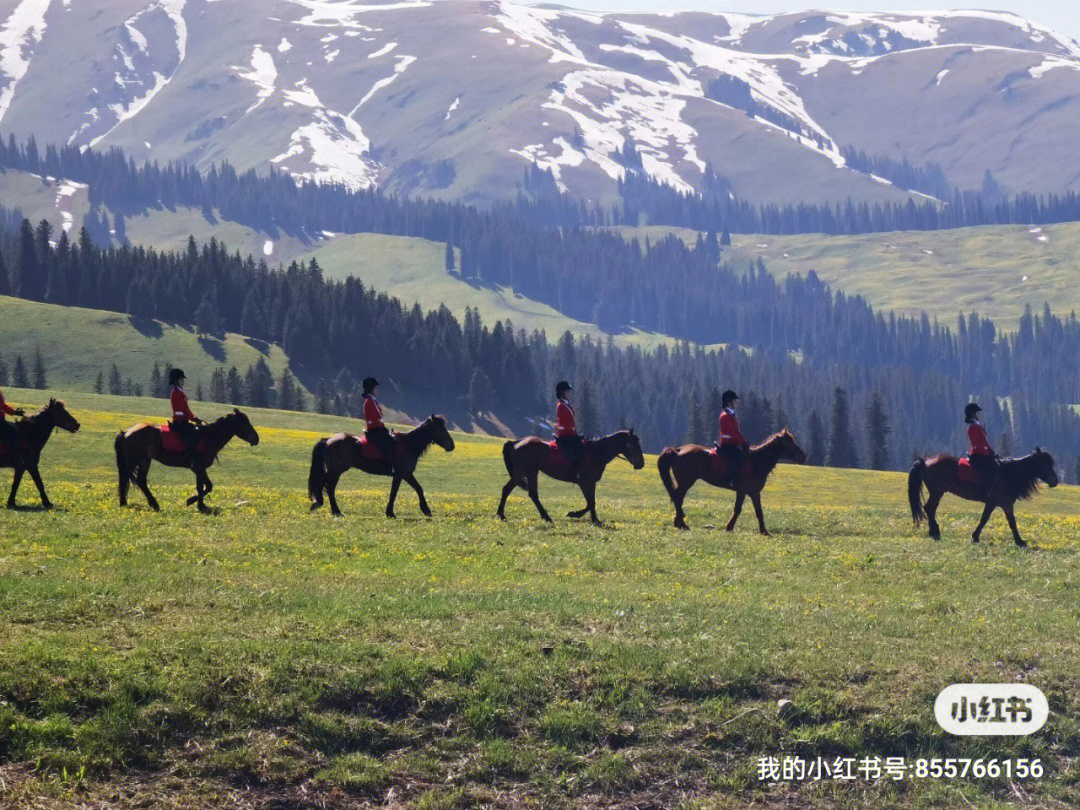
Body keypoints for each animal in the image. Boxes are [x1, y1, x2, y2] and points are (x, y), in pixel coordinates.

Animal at [114, 412, 259, 514]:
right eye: (245, 423)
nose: (256, 439)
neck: (209, 437)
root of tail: (126, 432)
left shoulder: (200, 469)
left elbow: (201, 487)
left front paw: (201, 505)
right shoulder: (198, 468)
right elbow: (208, 486)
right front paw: (191, 501)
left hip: (144, 460)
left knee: (139, 481)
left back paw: (137, 503)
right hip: (134, 460)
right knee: (131, 479)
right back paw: (150, 503)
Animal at [308, 414, 455, 516]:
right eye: (441, 429)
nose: (452, 446)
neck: (409, 444)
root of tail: (327, 440)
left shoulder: (404, 474)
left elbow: (413, 489)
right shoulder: (403, 474)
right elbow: (399, 492)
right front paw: (393, 512)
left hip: (336, 471)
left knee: (328, 487)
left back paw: (334, 510)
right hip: (336, 470)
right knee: (326, 486)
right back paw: (324, 505)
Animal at [494, 432, 639, 527]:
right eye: (632, 444)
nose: (640, 464)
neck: (596, 452)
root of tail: (516, 443)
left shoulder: (589, 483)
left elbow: (591, 502)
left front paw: (592, 519)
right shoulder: (585, 482)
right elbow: (591, 502)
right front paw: (578, 515)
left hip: (524, 473)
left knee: (508, 490)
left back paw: (502, 514)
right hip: (529, 472)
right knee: (531, 494)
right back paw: (546, 517)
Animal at [652, 427, 807, 535]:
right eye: (790, 443)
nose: (803, 457)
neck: (757, 461)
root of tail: (678, 450)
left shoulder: (753, 492)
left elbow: (758, 511)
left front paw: (763, 530)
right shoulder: (745, 491)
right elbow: (739, 509)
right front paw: (730, 527)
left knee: (678, 498)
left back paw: (680, 523)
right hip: (686, 482)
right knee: (677, 498)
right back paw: (681, 523)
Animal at [907, 447, 1058, 548]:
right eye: (1044, 464)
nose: (1055, 481)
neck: (1007, 473)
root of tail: (925, 461)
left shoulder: (994, 503)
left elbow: (985, 519)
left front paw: (975, 536)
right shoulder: (1004, 503)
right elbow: (1009, 522)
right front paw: (1020, 541)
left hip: (937, 492)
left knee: (930, 509)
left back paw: (933, 531)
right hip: (937, 492)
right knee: (929, 508)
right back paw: (935, 531)